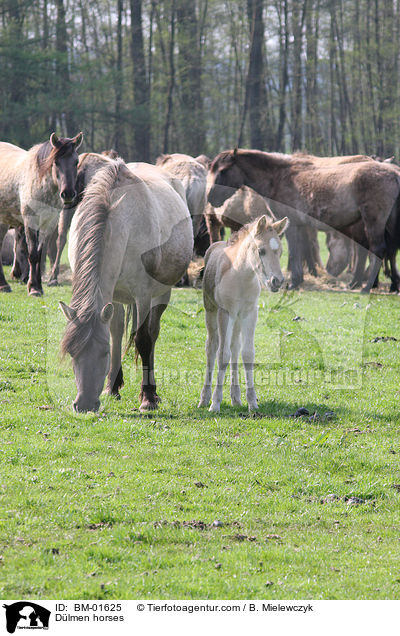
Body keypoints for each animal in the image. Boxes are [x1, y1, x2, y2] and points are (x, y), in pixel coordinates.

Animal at [199, 214, 290, 412]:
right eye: (261, 250)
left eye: (279, 252)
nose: (277, 281)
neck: (241, 276)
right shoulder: (225, 313)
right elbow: (222, 355)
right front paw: (215, 403)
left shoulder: (249, 313)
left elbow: (247, 354)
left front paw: (252, 402)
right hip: (211, 311)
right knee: (211, 348)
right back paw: (204, 398)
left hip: (238, 320)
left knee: (234, 348)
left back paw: (236, 398)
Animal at [208, 149, 400, 290]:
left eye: (223, 171)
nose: (210, 197)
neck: (278, 178)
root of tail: (394, 173)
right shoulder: (301, 226)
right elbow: (302, 250)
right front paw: (298, 279)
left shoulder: (293, 224)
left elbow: (294, 252)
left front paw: (293, 282)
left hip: (373, 222)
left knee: (377, 250)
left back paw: (366, 287)